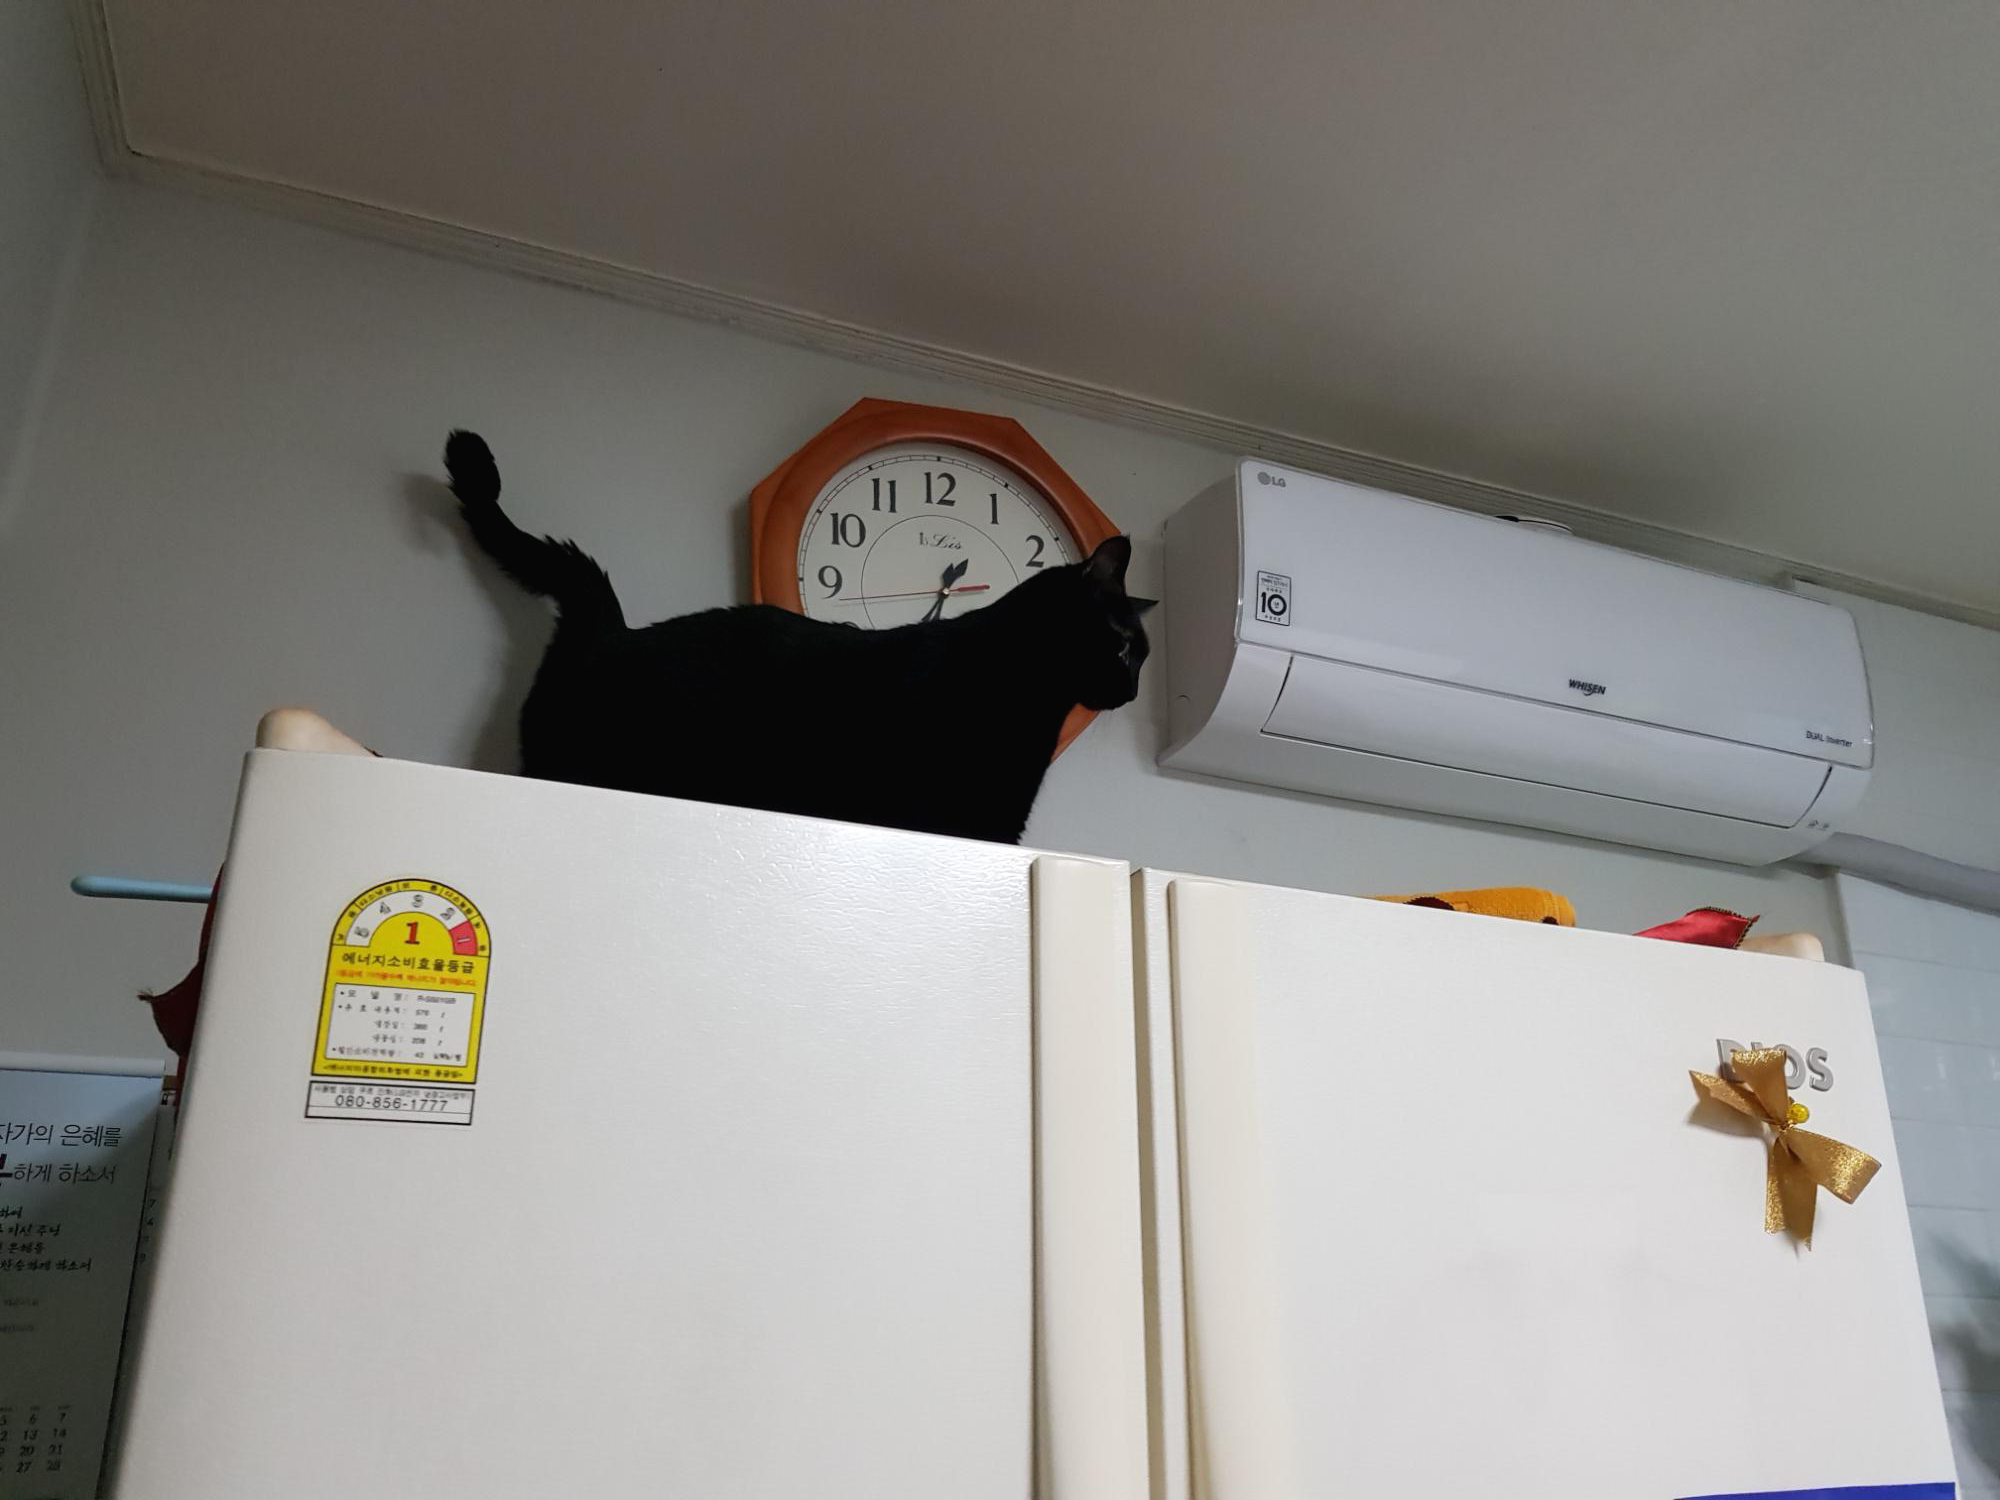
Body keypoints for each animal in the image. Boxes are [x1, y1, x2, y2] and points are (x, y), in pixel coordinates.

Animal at [445, 430, 1154, 844]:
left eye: (1144, 658)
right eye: (1124, 646)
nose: (1133, 690)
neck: (1028, 695)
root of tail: (612, 630)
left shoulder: (996, 818)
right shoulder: (945, 806)